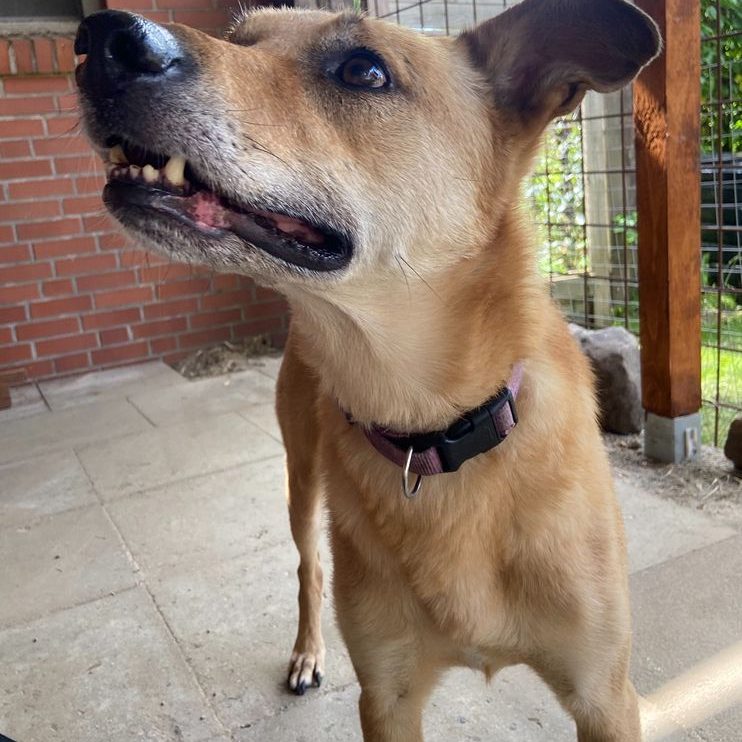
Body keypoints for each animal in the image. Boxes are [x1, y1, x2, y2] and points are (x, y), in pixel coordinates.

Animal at [76, 2, 661, 739]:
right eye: (240, 39)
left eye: (364, 70)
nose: (103, 41)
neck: (436, 429)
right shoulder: (386, 695)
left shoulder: (605, 696)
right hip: (300, 482)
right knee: (309, 568)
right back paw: (306, 652)